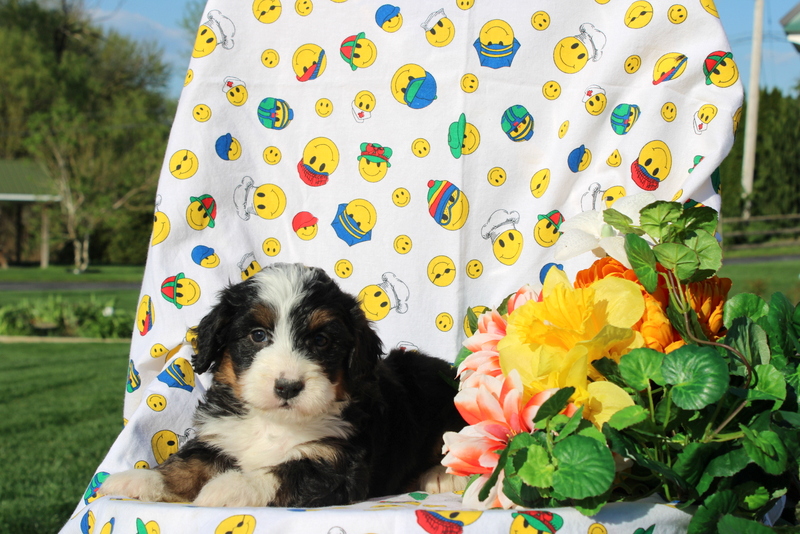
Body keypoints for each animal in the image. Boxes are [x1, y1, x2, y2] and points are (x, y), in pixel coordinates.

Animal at [100, 266, 466, 508]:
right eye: (258, 335)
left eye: (321, 340)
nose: (288, 387)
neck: (273, 422)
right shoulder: (220, 437)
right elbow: (188, 462)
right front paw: (139, 479)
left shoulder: (338, 462)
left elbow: (284, 473)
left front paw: (226, 488)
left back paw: (443, 475)